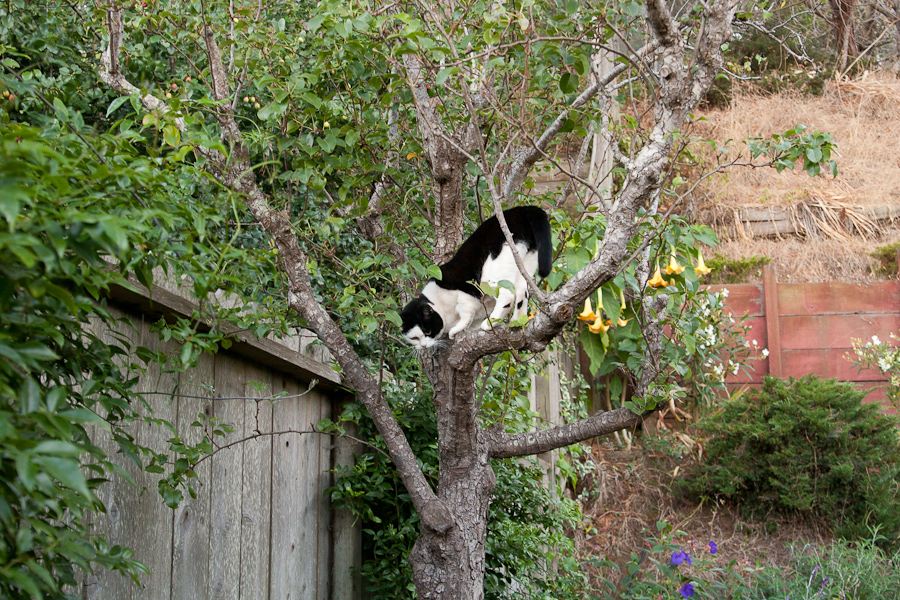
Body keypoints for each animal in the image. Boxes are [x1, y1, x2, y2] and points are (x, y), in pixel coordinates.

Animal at [402, 206, 556, 350]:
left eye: (427, 332)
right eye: (414, 338)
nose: (423, 346)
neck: (437, 302)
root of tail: (521, 210)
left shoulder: (465, 291)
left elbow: (466, 311)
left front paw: (457, 329)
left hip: (492, 271)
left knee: (507, 296)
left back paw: (490, 323)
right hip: (525, 263)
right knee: (522, 292)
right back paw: (516, 321)